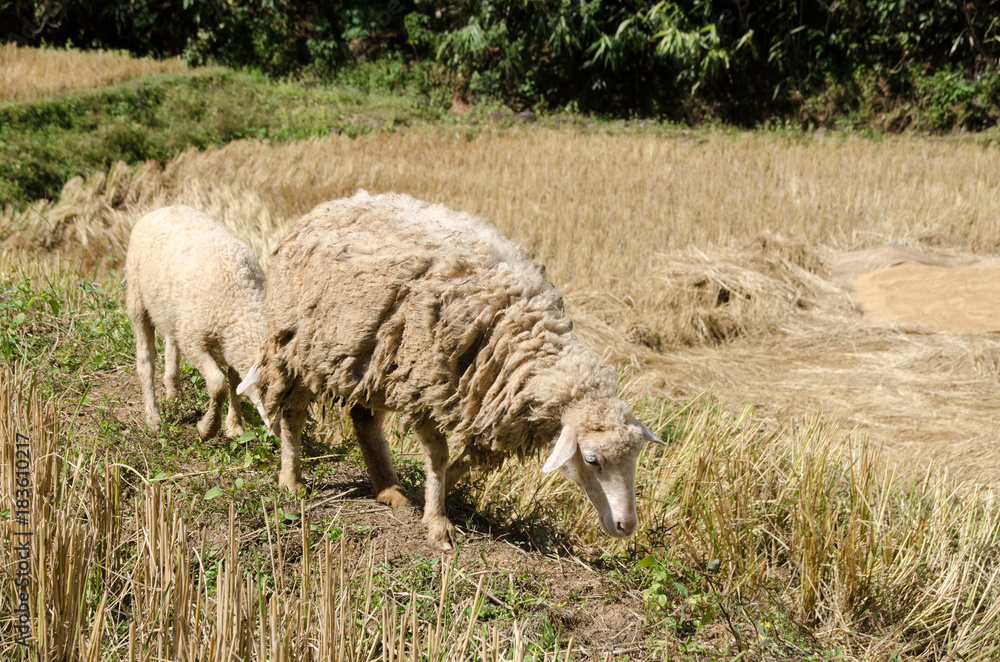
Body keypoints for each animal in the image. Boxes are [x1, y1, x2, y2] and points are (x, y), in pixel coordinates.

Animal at [126, 205, 270, 439]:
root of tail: (162, 208)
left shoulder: (230, 342)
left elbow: (234, 382)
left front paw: (234, 426)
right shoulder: (194, 341)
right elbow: (219, 385)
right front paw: (207, 428)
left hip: (173, 311)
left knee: (171, 341)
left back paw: (173, 390)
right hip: (138, 299)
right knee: (145, 358)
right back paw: (153, 417)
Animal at [247, 191, 663, 549]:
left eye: (635, 458)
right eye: (592, 460)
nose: (626, 526)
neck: (524, 328)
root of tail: (330, 205)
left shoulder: (484, 402)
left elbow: (464, 463)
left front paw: (426, 499)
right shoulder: (426, 383)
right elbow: (439, 457)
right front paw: (437, 524)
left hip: (372, 358)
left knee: (364, 420)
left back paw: (389, 490)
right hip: (297, 346)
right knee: (293, 413)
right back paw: (292, 480)